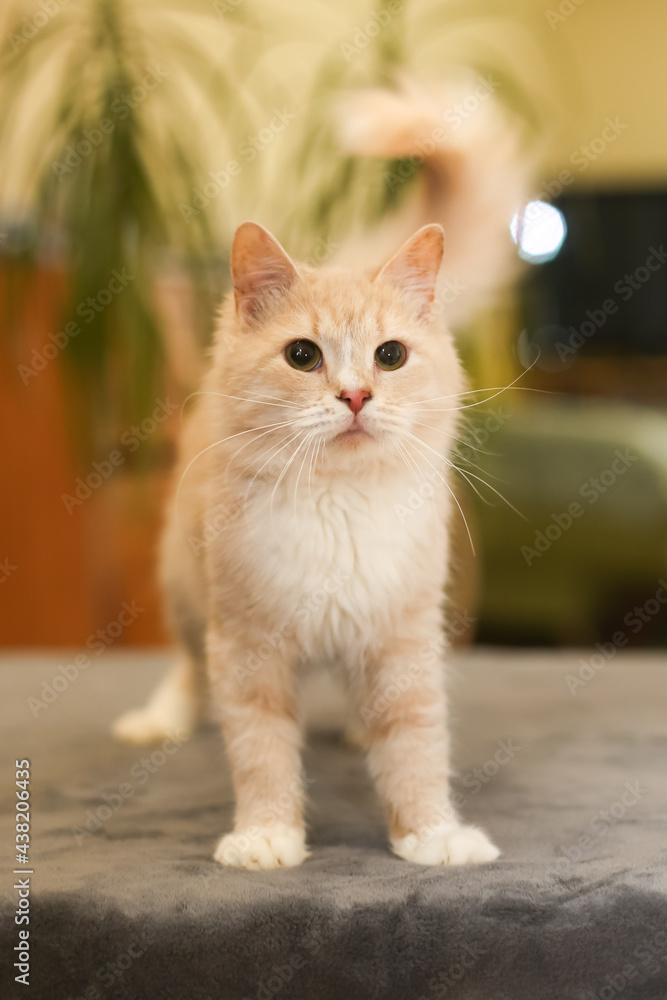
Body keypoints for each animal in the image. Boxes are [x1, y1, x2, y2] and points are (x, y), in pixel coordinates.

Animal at [113, 217, 500, 868]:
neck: (336, 504)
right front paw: (267, 836)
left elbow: (416, 746)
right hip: (186, 591)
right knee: (189, 666)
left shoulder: (405, 638)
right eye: (303, 356)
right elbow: (262, 751)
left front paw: (430, 834)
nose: (356, 397)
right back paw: (160, 719)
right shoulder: (245, 644)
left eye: (390, 356)